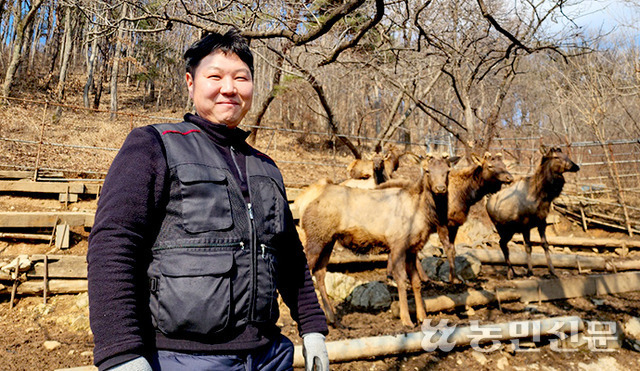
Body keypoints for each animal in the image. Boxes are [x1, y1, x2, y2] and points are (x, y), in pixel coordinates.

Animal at [302, 153, 458, 326]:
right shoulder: (397, 244)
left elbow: (416, 281)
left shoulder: (412, 248)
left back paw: (332, 318)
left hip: (328, 239)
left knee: (319, 272)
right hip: (315, 236)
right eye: (427, 171)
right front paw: (406, 319)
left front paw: (422, 317)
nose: (440, 189)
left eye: (447, 171)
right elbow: (401, 280)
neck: (424, 216)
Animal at [488, 147, 584, 280]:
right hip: (501, 227)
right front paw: (530, 272)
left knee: (502, 243)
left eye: (565, 155)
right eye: (556, 157)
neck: (542, 196)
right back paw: (510, 273)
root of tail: (487, 202)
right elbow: (528, 247)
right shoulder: (525, 224)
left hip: (510, 230)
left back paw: (513, 272)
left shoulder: (542, 222)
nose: (576, 166)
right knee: (502, 244)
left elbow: (545, 244)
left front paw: (552, 271)